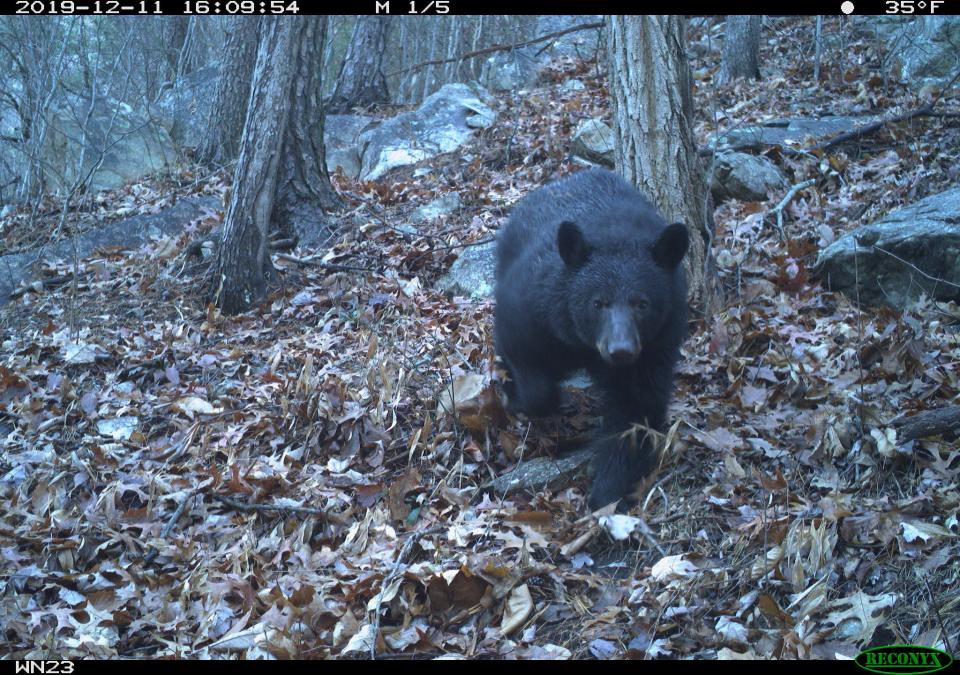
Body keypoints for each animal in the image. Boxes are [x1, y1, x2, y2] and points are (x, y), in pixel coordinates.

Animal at [496, 169, 688, 512]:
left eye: (642, 303)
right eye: (598, 303)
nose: (621, 350)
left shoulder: (654, 345)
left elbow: (635, 408)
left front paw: (609, 492)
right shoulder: (532, 307)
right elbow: (521, 356)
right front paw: (514, 396)